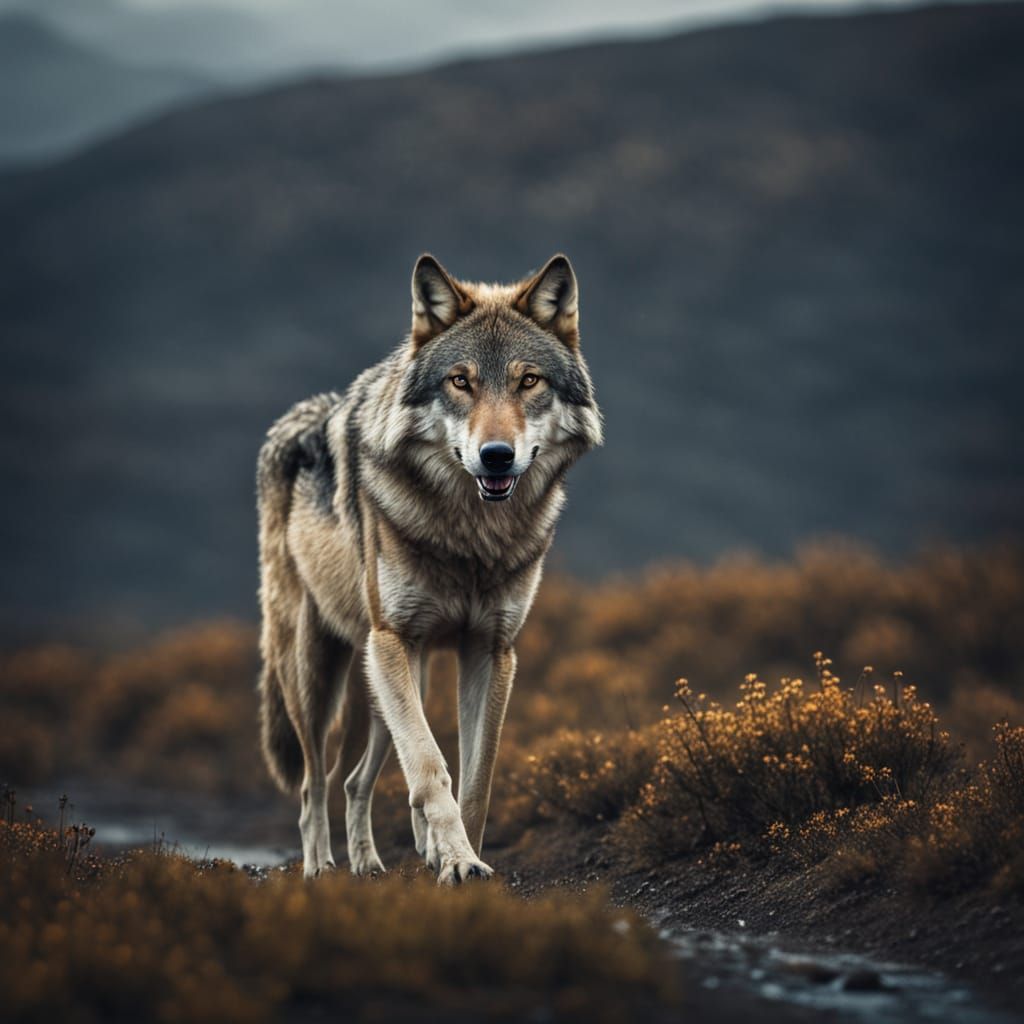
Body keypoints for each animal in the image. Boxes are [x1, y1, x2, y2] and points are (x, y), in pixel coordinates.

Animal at [256, 253, 602, 883]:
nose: (497, 456)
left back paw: (371, 864)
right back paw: (320, 870)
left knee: (352, 780)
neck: (470, 536)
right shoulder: (394, 639)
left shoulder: (490, 650)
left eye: (529, 381)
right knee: (313, 783)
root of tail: (300, 416)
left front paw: (462, 857)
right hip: (322, 675)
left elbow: (474, 779)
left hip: (386, 683)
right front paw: (458, 862)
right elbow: (429, 767)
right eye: (460, 381)